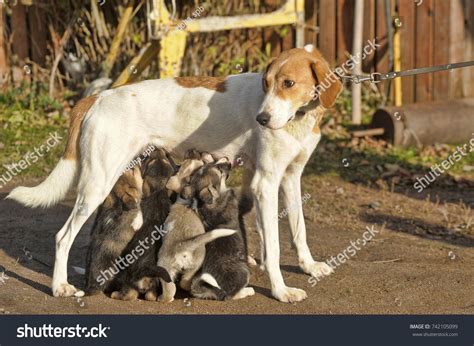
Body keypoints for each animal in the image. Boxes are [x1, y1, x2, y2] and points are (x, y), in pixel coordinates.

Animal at [109, 150, 176, 302]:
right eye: (162, 157)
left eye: (148, 159)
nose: (157, 148)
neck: (159, 190)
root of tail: (145, 269)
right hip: (153, 285)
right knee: (150, 296)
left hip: (127, 278)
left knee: (128, 294)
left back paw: (114, 294)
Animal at [156, 159, 236, 302]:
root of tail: (181, 246)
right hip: (197, 262)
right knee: (185, 281)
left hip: (165, 268)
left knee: (172, 289)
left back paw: (163, 297)